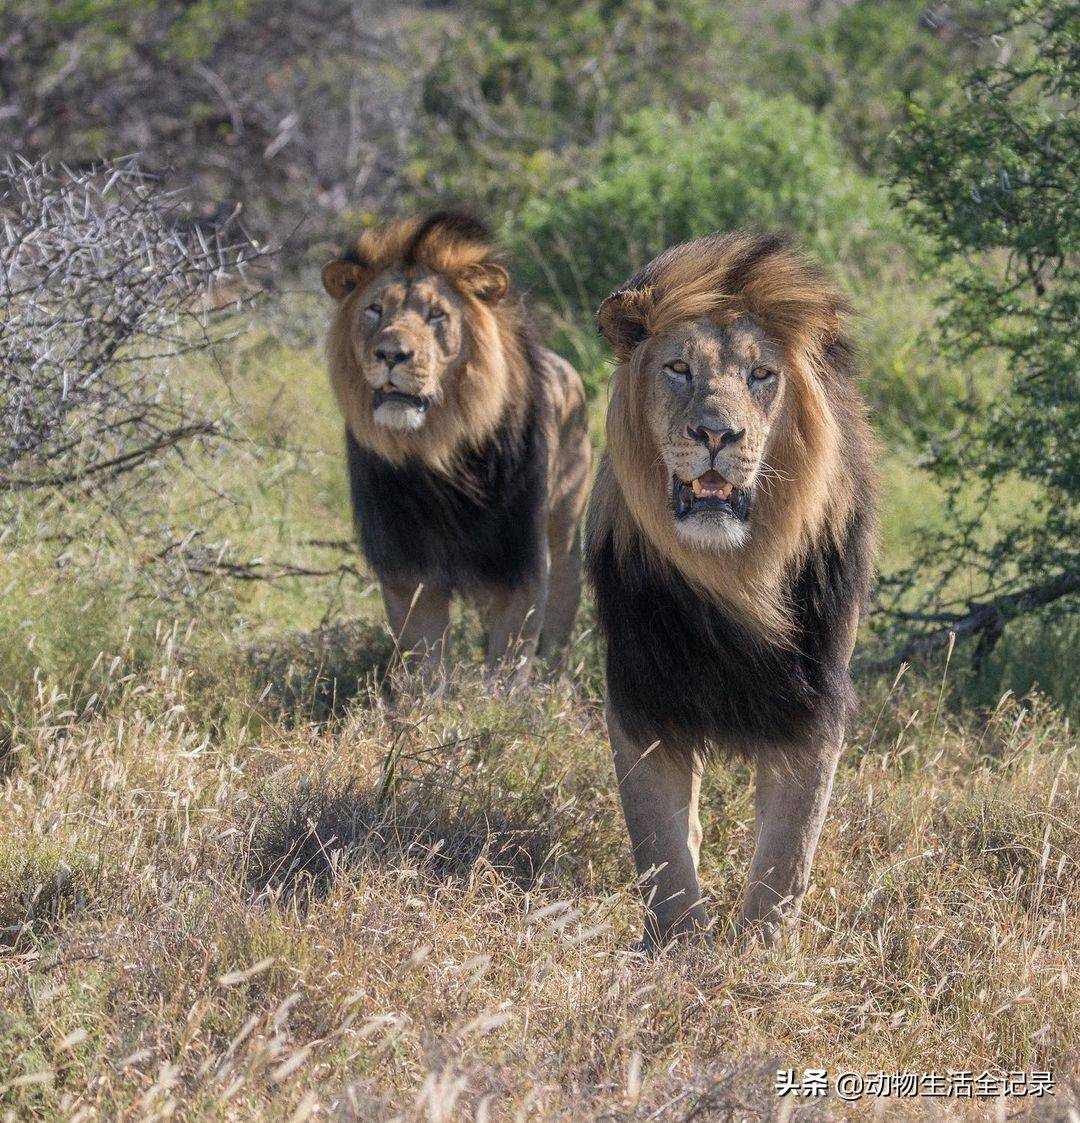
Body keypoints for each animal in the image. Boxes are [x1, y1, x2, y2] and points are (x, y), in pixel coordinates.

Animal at [321, 211, 588, 682]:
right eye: (374, 310)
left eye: (436, 316)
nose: (391, 354)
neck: (438, 450)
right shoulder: (407, 565)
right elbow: (423, 663)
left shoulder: (520, 561)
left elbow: (507, 666)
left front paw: (502, 702)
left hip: (566, 530)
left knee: (561, 616)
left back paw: (554, 681)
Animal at [579, 232, 875, 952]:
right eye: (678, 368)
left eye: (761, 375)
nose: (716, 434)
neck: (732, 572)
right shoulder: (642, 697)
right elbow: (661, 848)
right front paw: (681, 948)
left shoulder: (813, 706)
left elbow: (786, 853)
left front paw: (761, 953)